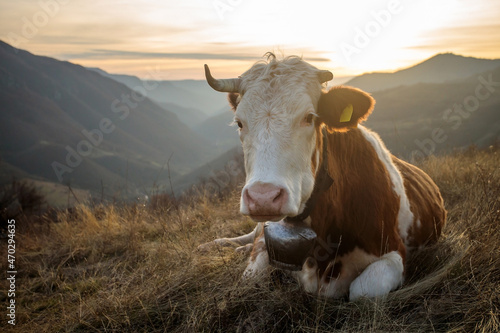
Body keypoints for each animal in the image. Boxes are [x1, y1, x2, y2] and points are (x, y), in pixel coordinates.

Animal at [198, 53, 446, 300]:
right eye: (239, 123)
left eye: (309, 117)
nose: (263, 198)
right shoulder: (265, 244)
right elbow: (249, 278)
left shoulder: (394, 252)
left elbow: (362, 291)